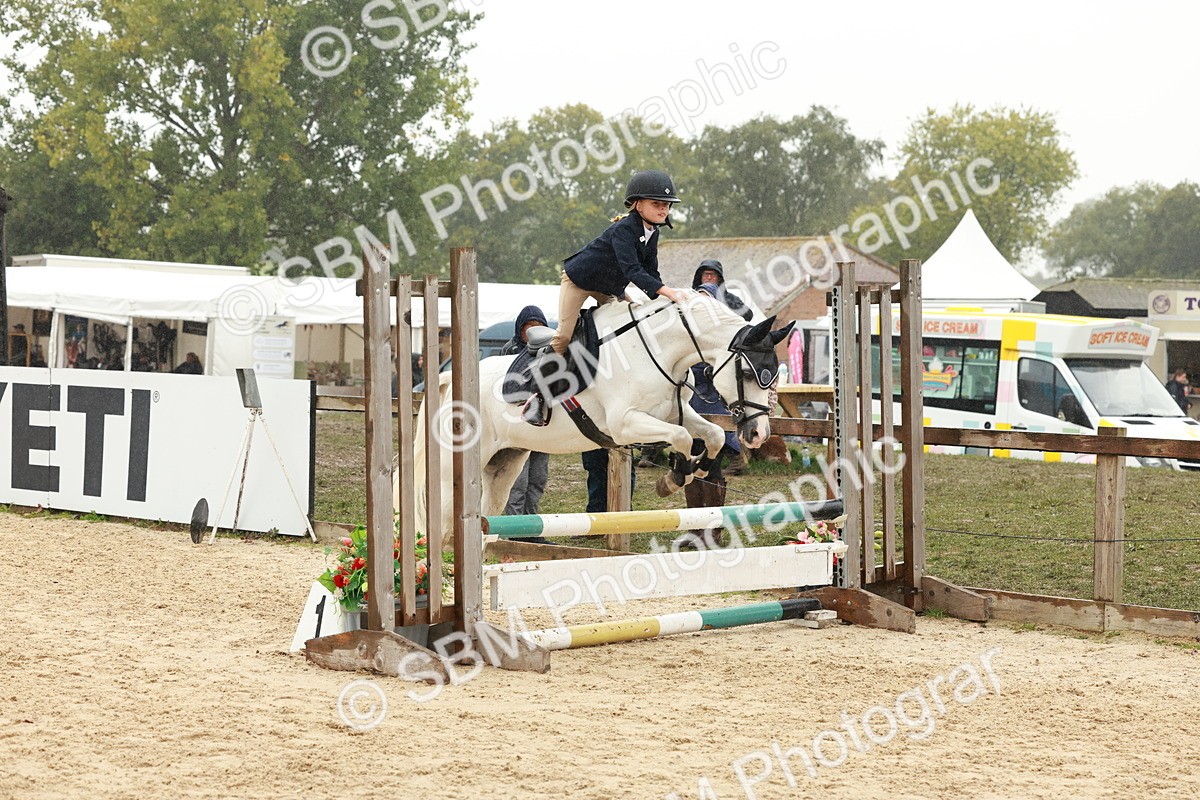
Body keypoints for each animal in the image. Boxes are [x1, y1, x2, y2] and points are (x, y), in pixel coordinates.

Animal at [400, 291, 794, 537]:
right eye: (748, 374)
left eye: (773, 374)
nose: (758, 434)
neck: (658, 350)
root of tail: (448, 379)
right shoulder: (625, 424)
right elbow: (683, 438)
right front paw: (674, 476)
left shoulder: (672, 414)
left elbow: (709, 435)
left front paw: (692, 470)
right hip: (458, 462)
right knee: (445, 521)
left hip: (505, 462)